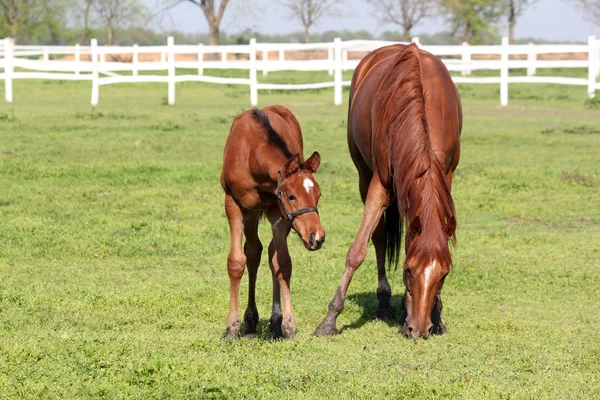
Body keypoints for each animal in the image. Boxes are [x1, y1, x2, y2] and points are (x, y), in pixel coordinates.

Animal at [220, 104, 324, 340]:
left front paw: (288, 324)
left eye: (318, 195)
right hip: (251, 211)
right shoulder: (233, 204)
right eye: (292, 196)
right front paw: (232, 327)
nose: (317, 237)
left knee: (269, 253)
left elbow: (282, 263)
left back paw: (274, 321)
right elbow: (236, 261)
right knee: (253, 252)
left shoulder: (277, 209)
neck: (251, 153)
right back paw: (250, 320)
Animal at [316, 43, 462, 340]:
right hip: (364, 175)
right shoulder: (379, 184)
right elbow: (357, 251)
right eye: (408, 271)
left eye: (443, 275)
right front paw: (330, 319)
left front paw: (436, 316)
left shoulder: (445, 177)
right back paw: (383, 302)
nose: (419, 330)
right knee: (379, 236)